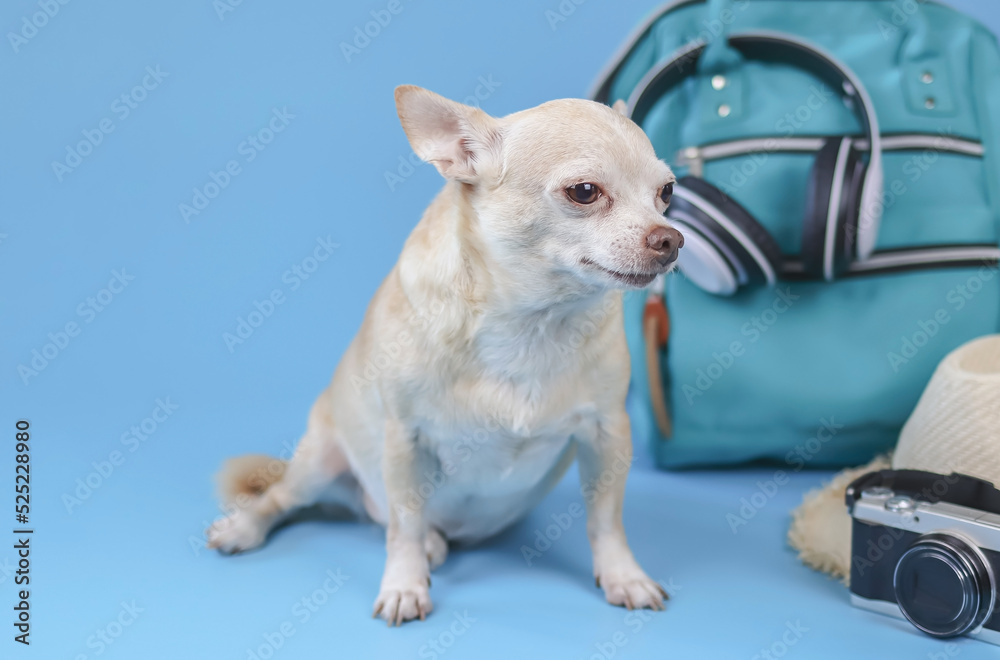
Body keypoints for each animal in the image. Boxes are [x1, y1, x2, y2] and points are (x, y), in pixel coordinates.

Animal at [207, 86, 684, 624]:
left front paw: (624, 575)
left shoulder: (607, 434)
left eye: (666, 193)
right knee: (289, 500)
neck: (531, 322)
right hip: (318, 463)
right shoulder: (405, 440)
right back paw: (244, 528)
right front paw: (403, 584)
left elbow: (606, 520)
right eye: (584, 191)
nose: (671, 239)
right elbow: (406, 524)